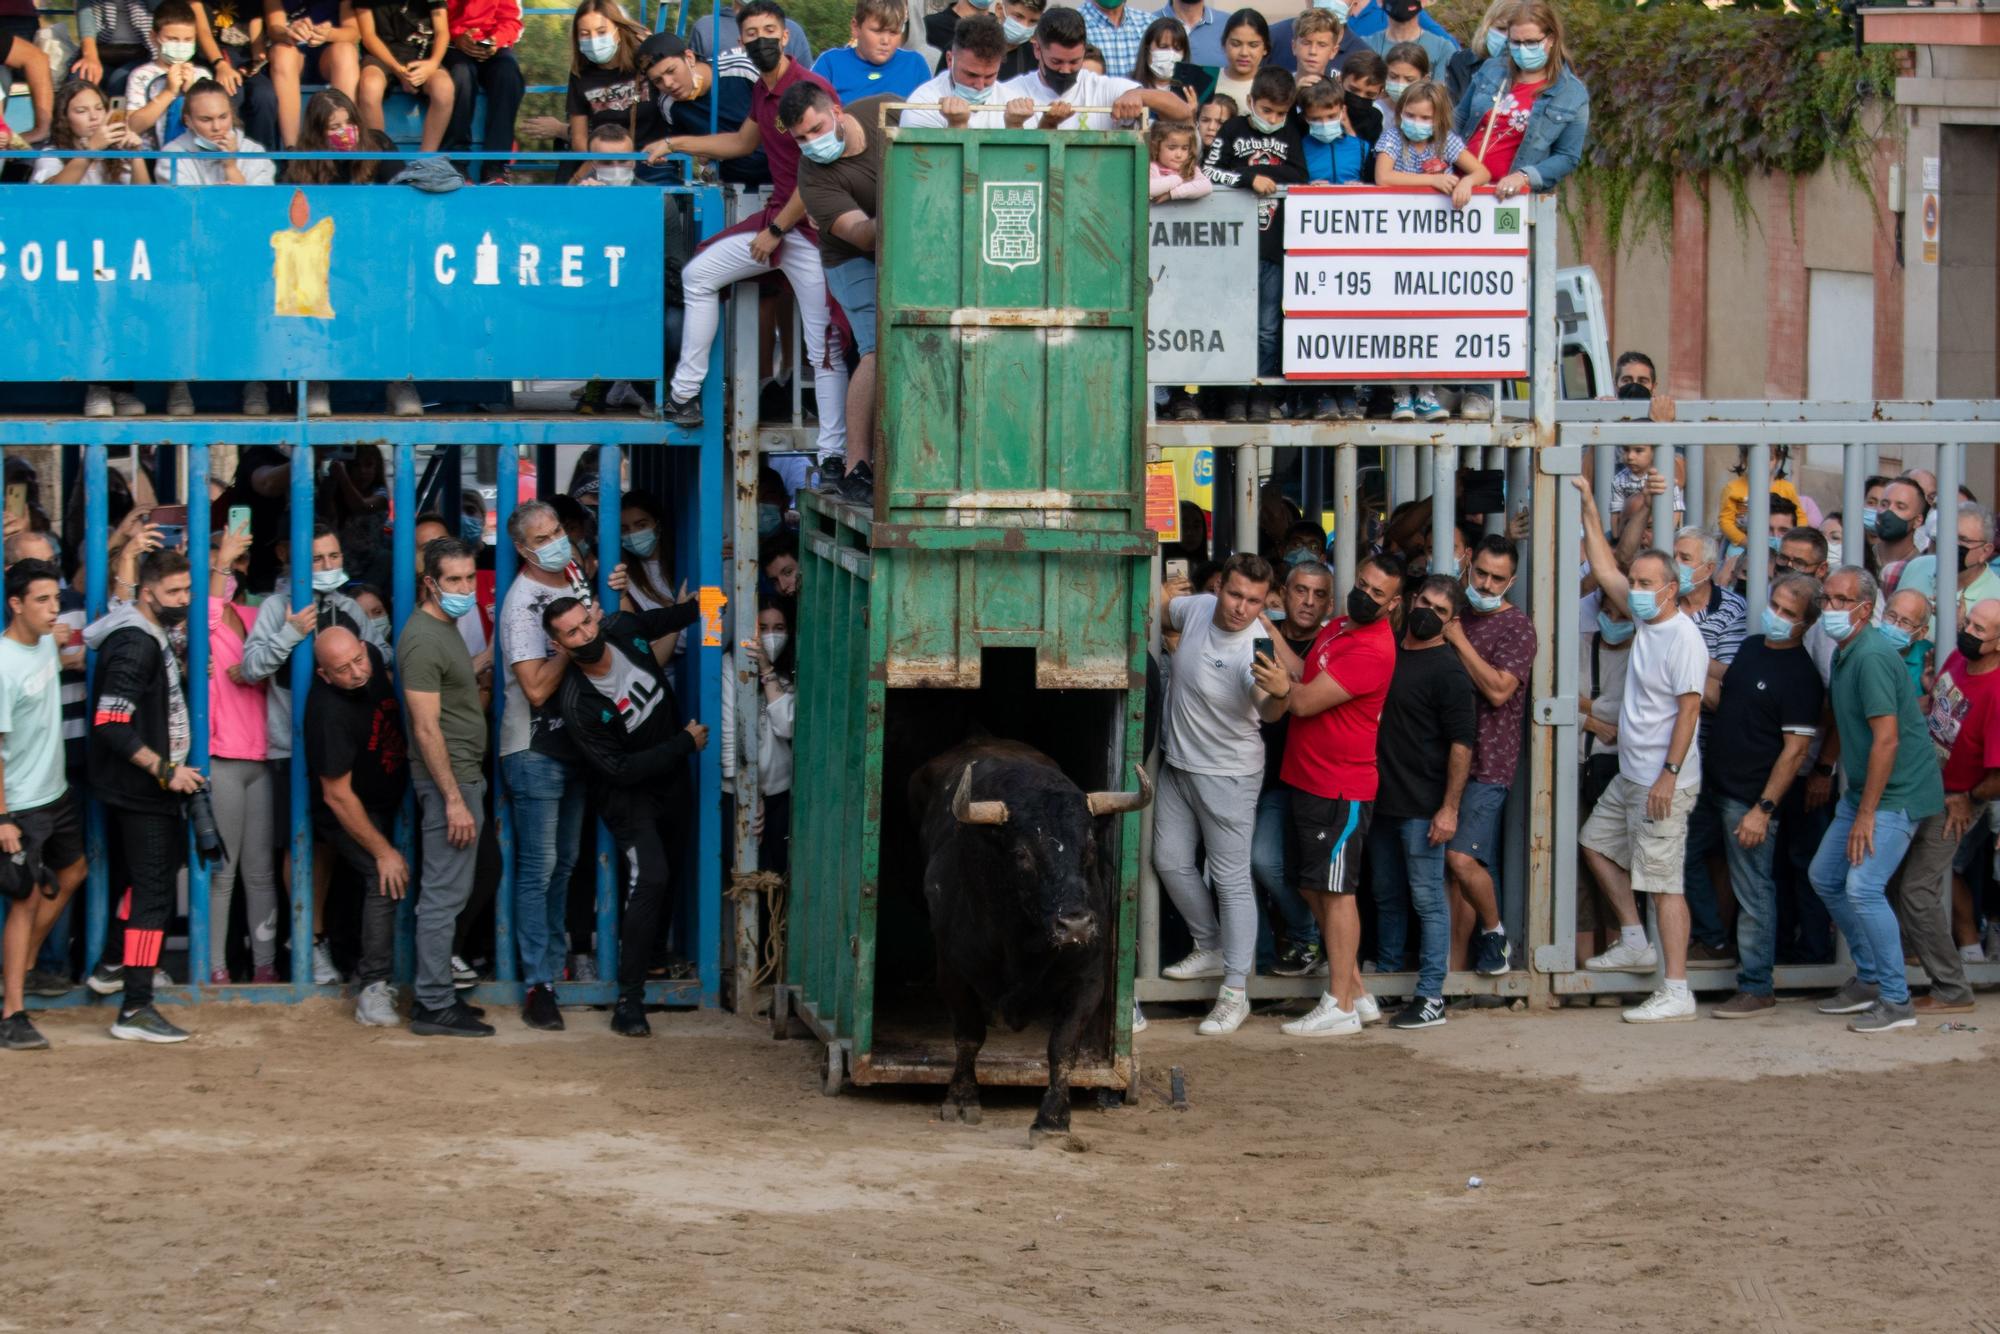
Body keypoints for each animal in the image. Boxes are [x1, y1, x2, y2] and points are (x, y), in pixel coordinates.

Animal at [912, 740, 1160, 1136]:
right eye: (1021, 854)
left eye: (1090, 847)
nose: (1075, 925)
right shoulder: (952, 972)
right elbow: (968, 1036)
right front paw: (961, 1098)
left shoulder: (1089, 979)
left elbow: (1063, 1046)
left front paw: (1053, 1118)